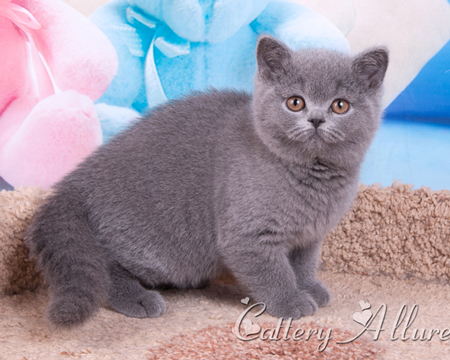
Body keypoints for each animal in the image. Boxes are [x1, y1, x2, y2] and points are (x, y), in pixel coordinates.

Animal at [26, 35, 388, 326]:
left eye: (340, 105)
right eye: (295, 102)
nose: (315, 119)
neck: (311, 178)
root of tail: (76, 182)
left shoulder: (309, 235)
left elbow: (303, 264)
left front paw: (310, 288)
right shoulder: (248, 235)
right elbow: (274, 271)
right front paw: (291, 301)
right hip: (155, 246)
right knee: (103, 264)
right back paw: (139, 297)